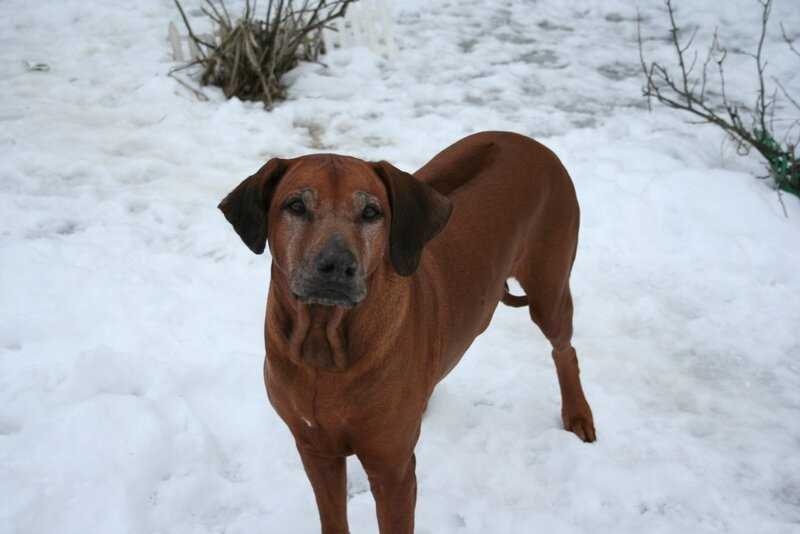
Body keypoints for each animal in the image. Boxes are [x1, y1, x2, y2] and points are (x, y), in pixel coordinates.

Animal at [219, 131, 592, 534]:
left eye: (371, 212)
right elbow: (332, 517)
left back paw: (578, 413)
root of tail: (529, 142)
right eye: (296, 206)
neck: (325, 346)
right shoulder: (315, 450)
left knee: (564, 349)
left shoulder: (392, 470)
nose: (337, 265)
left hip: (549, 290)